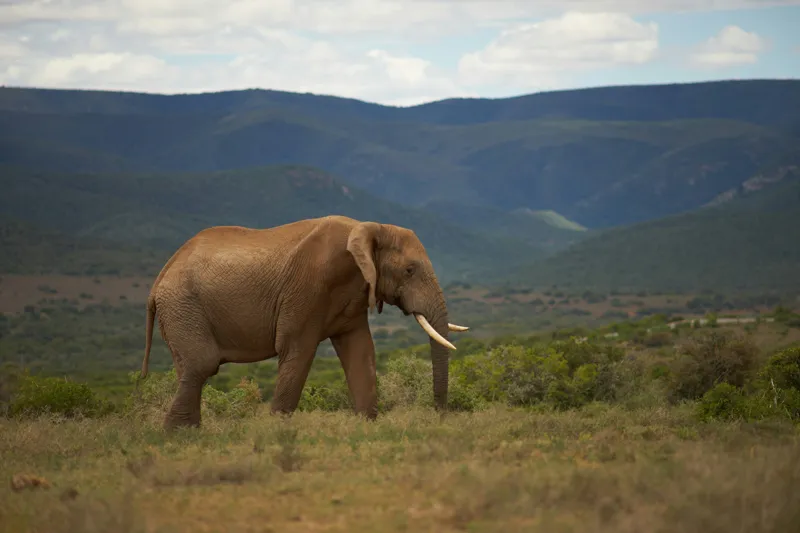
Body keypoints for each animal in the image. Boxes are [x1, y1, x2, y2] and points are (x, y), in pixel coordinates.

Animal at [139, 215, 469, 430]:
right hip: (183, 306)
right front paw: (278, 431)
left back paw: (190, 433)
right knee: (202, 365)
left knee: (190, 369)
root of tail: (159, 280)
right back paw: (176, 436)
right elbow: (297, 349)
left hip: (180, 311)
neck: (369, 228)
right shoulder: (309, 288)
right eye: (410, 270)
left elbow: (360, 351)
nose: (440, 417)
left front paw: (367, 427)